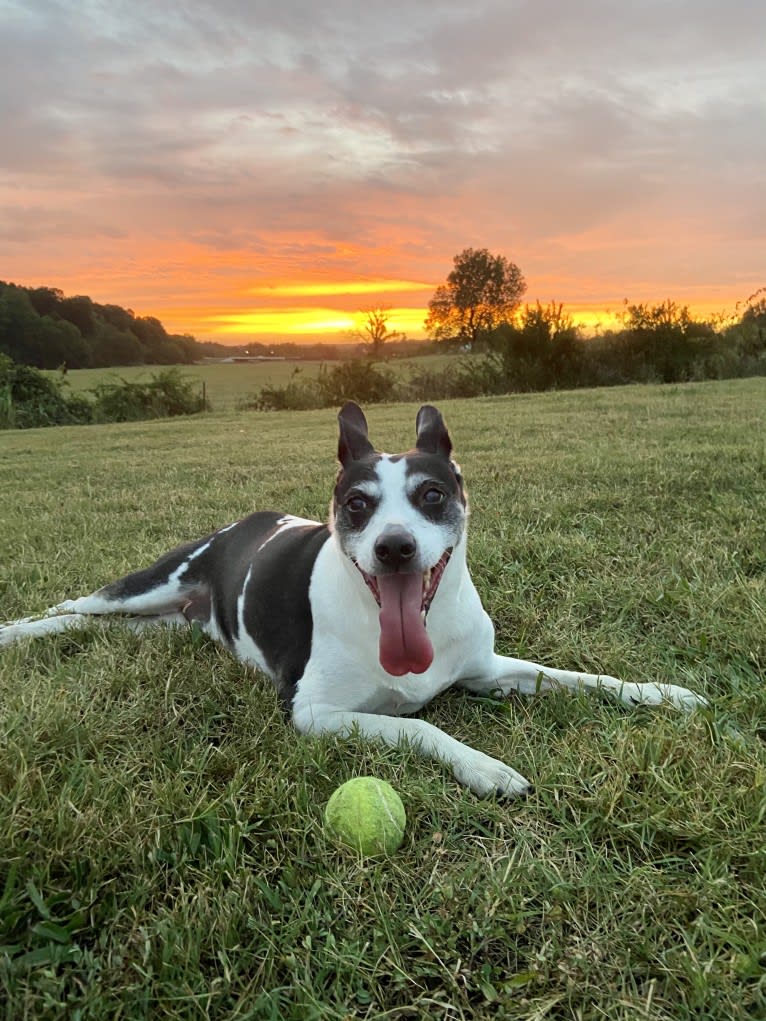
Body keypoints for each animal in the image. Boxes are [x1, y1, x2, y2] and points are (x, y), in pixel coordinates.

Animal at [1, 400, 706, 796]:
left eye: (432, 495)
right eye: (359, 504)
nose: (394, 547)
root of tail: (240, 523)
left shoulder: (486, 671)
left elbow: (579, 676)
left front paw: (665, 694)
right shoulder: (313, 713)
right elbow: (417, 725)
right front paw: (486, 768)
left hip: (163, 624)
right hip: (146, 587)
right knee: (69, 611)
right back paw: (15, 631)